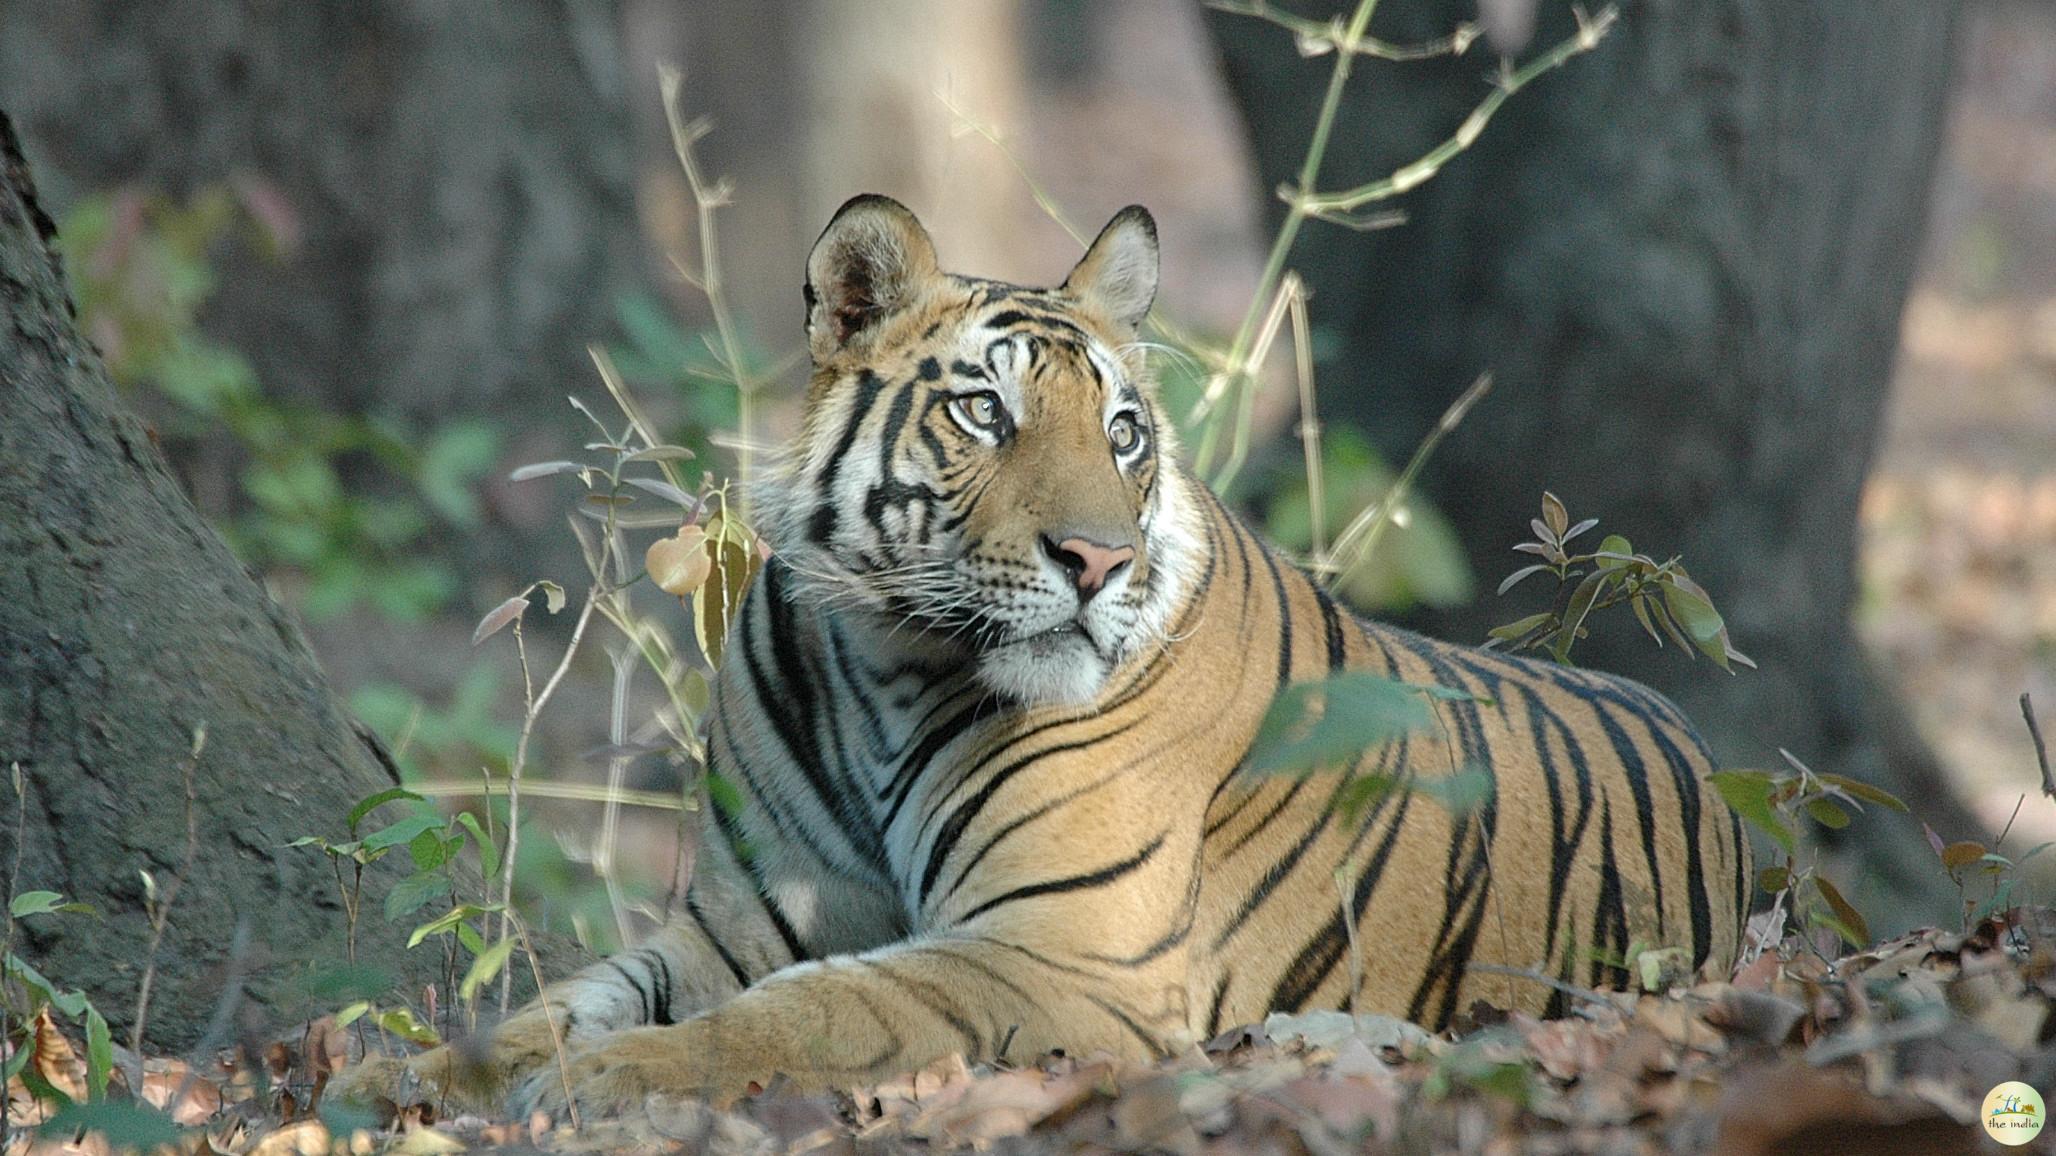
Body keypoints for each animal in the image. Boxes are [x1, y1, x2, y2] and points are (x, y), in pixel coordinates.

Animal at [341, 193, 1751, 1110]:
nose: (1100, 562)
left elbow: (816, 1010)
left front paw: (612, 1083)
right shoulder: (735, 925)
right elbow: (560, 998)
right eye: (984, 411)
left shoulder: (1059, 950)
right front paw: (410, 1075)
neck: (885, 661)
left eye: (1123, 431)